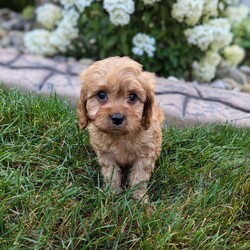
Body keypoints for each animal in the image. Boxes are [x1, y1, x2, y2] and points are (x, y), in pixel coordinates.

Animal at [78, 56, 164, 201]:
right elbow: (111, 174)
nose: (117, 118)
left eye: (132, 96)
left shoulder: (145, 153)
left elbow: (139, 177)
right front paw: (111, 193)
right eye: (101, 95)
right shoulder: (106, 154)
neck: (120, 136)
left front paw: (138, 197)